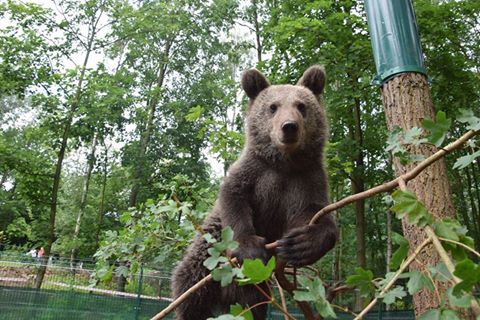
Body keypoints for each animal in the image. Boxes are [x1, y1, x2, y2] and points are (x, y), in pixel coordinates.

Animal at [172, 66, 338, 318]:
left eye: (301, 105)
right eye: (273, 107)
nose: (289, 126)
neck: (285, 163)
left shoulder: (308, 180)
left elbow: (316, 214)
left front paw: (303, 243)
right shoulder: (255, 172)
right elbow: (234, 198)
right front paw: (250, 247)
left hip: (255, 286)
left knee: (254, 303)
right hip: (207, 255)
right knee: (190, 286)